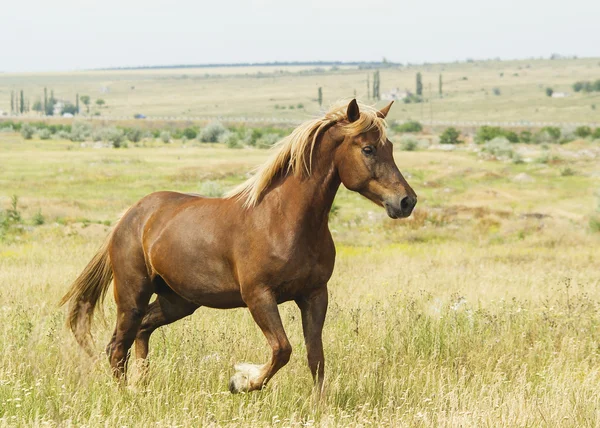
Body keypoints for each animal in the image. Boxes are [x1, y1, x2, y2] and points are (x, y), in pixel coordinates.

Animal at [61, 98, 418, 392]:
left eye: (390, 147)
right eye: (368, 149)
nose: (406, 201)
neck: (284, 220)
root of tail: (130, 216)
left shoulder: (315, 295)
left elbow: (315, 358)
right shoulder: (259, 296)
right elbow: (282, 350)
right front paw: (242, 381)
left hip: (178, 301)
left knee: (140, 333)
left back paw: (143, 388)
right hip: (132, 296)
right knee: (117, 347)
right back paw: (126, 397)